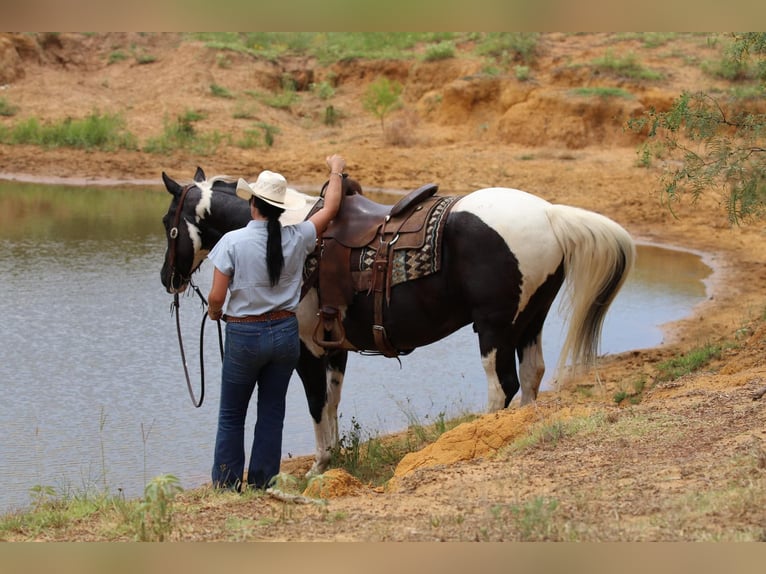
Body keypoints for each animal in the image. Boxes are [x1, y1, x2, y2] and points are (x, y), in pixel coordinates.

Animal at [160, 168, 636, 476]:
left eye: (168, 223)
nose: (169, 279)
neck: (283, 229)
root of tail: (551, 215)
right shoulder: (334, 347)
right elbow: (332, 402)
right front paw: (334, 459)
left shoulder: (306, 349)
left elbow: (315, 403)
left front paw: (319, 467)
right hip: (528, 322)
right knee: (533, 375)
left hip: (495, 329)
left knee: (502, 385)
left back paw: (480, 437)